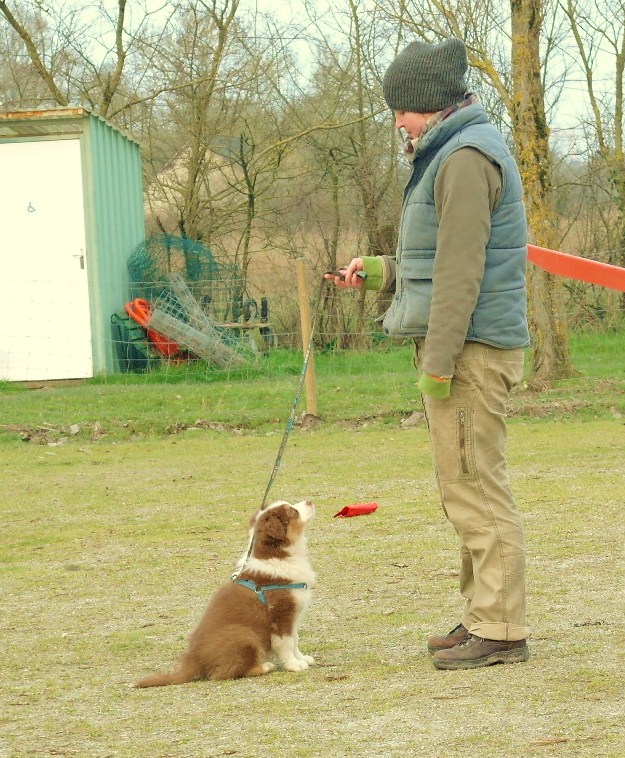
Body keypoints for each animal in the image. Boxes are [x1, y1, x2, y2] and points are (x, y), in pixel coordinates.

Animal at [134, 498, 314, 688]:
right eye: (292, 511)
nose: (310, 501)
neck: (277, 556)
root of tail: (193, 661)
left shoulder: (293, 617)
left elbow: (295, 640)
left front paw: (302, 658)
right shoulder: (281, 614)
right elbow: (286, 642)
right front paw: (293, 665)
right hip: (246, 636)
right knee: (222, 674)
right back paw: (265, 666)